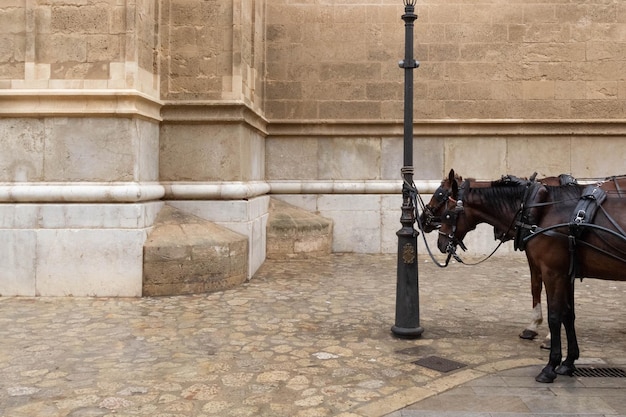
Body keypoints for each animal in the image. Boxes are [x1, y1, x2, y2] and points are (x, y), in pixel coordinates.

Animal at [432, 168, 626, 380]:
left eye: (446, 211)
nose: (440, 243)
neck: (539, 209)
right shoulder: (565, 273)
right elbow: (567, 313)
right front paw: (568, 362)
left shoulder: (553, 272)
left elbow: (555, 316)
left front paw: (550, 366)